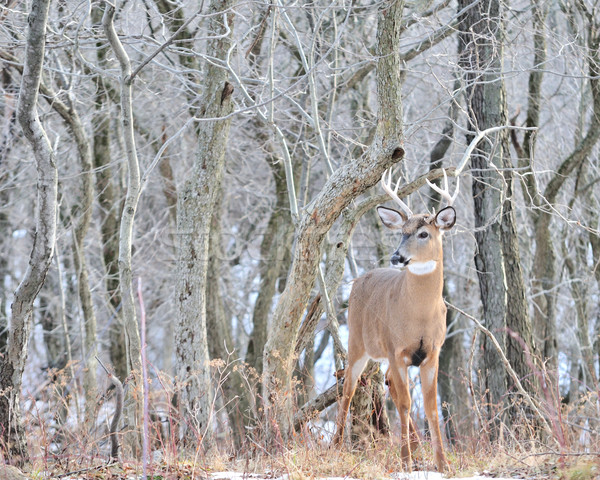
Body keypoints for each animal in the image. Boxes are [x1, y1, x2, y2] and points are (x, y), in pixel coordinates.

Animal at [330, 169, 458, 472]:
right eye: (402, 233)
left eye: (424, 233)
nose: (397, 256)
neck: (419, 316)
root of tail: (360, 278)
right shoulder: (396, 349)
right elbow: (405, 403)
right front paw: (406, 462)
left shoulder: (433, 351)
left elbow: (431, 407)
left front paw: (442, 464)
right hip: (358, 343)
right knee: (348, 389)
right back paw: (336, 445)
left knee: (387, 382)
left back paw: (415, 445)